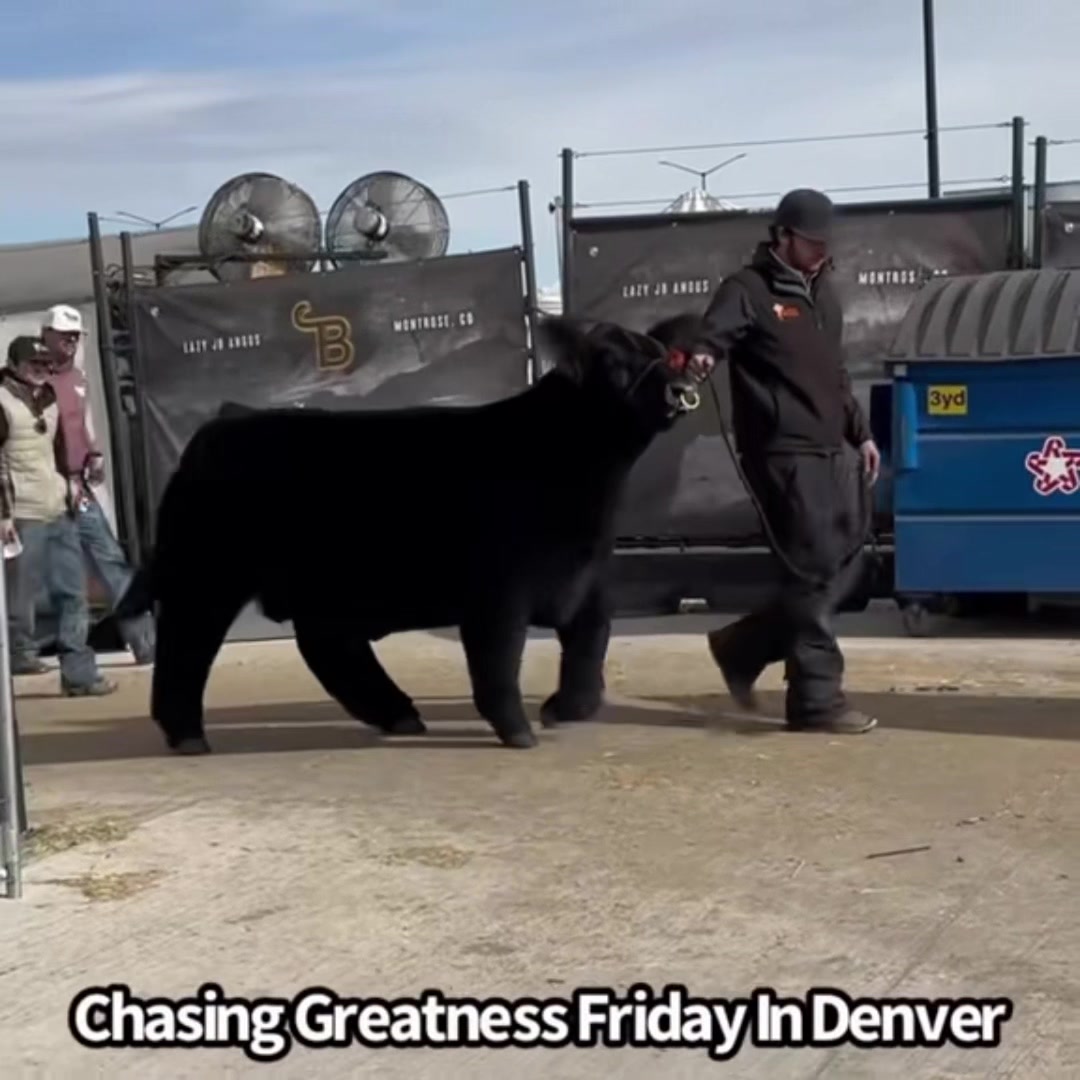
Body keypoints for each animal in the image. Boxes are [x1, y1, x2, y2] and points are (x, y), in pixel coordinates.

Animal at [115, 314, 712, 755]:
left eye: (664, 355)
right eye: (612, 361)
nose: (682, 390)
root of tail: (222, 423)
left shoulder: (582, 581)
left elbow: (591, 643)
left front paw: (565, 709)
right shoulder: (498, 592)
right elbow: (497, 661)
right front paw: (518, 731)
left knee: (327, 646)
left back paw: (398, 715)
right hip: (207, 574)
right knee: (188, 644)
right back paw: (187, 734)